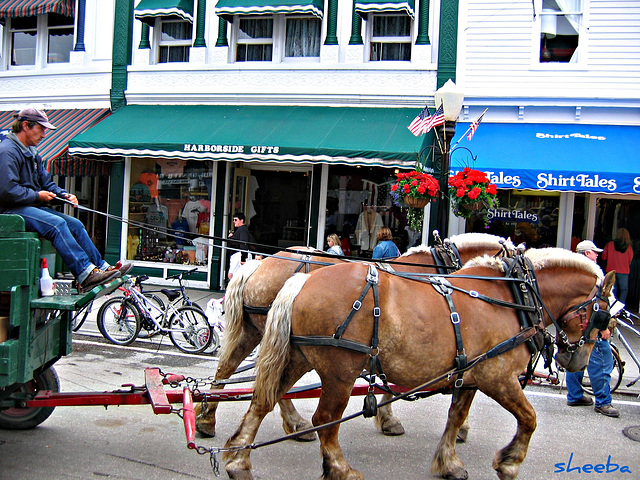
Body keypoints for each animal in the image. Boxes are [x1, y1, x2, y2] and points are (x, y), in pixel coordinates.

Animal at [195, 232, 516, 438]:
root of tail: (259, 263)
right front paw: (394, 420)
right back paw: (297, 424)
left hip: (257, 332)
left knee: (230, 369)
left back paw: (206, 417)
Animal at [224, 249, 616, 478]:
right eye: (604, 316)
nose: (577, 358)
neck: (513, 296)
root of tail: (302, 280)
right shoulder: (498, 376)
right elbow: (530, 418)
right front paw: (510, 461)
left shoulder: (469, 375)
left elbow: (455, 416)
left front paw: (450, 462)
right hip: (340, 371)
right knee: (325, 420)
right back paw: (340, 468)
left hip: (297, 356)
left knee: (262, 399)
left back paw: (237, 458)